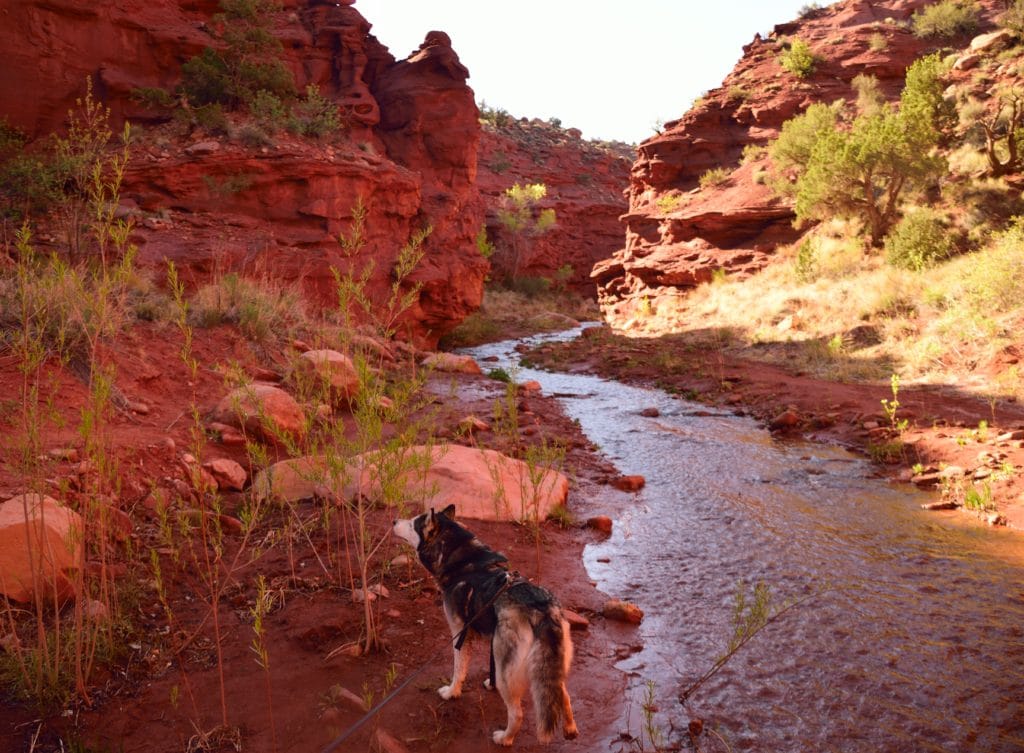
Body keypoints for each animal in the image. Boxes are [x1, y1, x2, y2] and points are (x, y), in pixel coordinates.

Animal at [391, 504, 577, 745]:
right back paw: (570, 729)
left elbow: (458, 670)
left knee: (517, 714)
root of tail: (541, 610)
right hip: (550, 667)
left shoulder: (460, 635)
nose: (394, 521)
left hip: (508, 672)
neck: (462, 563)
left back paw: (504, 738)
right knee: (564, 695)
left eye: (413, 523)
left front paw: (451, 693)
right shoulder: (491, 644)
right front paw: (490, 684)